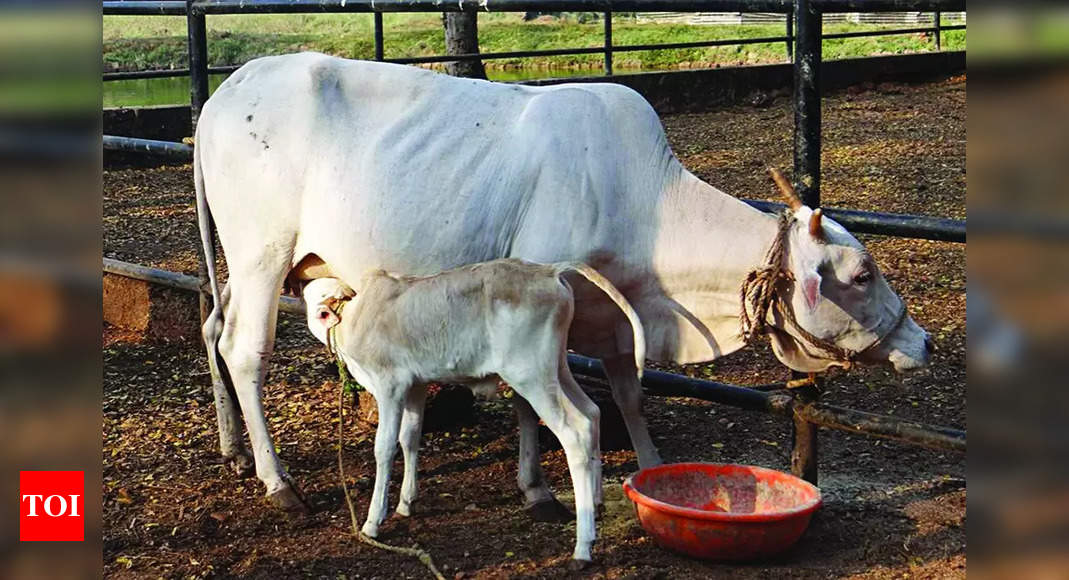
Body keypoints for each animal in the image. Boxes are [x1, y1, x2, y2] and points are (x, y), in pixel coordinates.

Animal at [196, 52, 932, 516]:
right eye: (861, 274)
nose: (920, 342)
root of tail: (223, 95)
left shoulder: (615, 319)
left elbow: (629, 396)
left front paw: (645, 467)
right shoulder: (536, 296)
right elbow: (531, 401)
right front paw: (539, 489)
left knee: (211, 325)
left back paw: (233, 451)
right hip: (261, 254)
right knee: (244, 349)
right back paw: (277, 481)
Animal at [297, 260, 641, 563]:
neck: (353, 317)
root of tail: (548, 271)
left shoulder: (390, 385)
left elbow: (384, 448)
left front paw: (373, 522)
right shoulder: (415, 385)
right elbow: (410, 437)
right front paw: (406, 502)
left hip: (530, 375)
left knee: (574, 431)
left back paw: (583, 546)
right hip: (556, 368)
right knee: (592, 414)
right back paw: (595, 504)